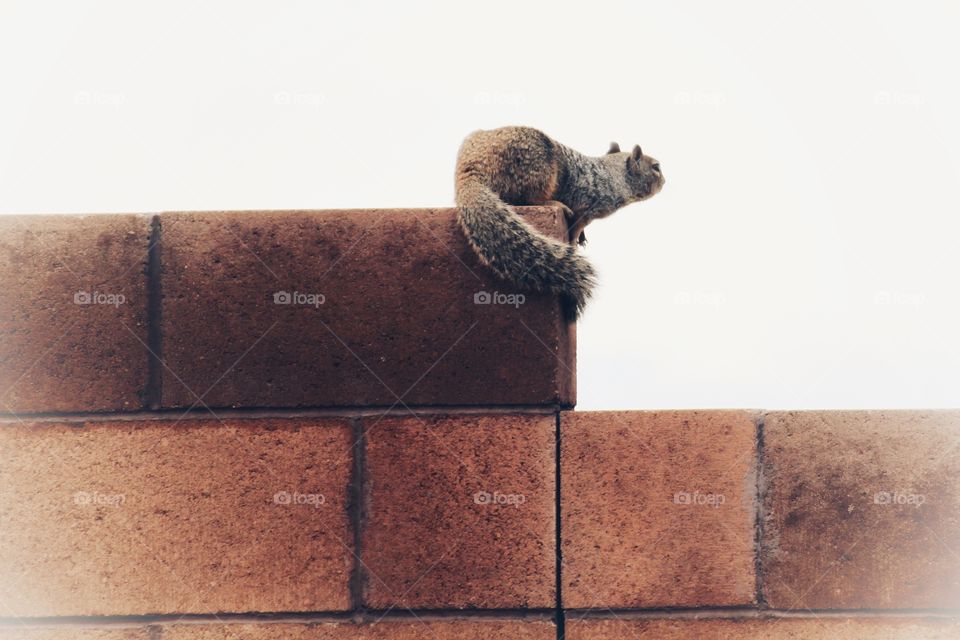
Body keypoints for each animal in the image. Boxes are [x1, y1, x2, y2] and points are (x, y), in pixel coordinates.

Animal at [455, 126, 664, 319]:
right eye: (656, 167)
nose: (664, 181)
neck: (612, 176)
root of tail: (470, 168)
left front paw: (582, 238)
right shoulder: (586, 207)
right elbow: (576, 226)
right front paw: (574, 241)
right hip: (535, 168)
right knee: (526, 197)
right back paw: (554, 203)